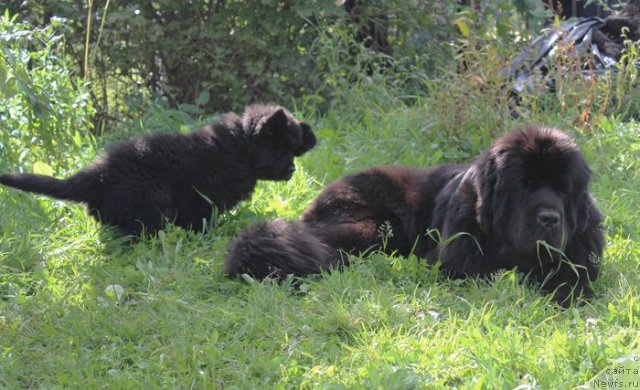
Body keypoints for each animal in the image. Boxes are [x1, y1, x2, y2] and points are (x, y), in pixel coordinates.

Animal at [0, 104, 316, 238]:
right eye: (281, 150)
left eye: (294, 150)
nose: (291, 169)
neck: (241, 148)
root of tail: (95, 176)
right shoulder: (202, 197)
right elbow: (201, 218)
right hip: (151, 198)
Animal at [226, 126, 604, 306]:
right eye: (525, 186)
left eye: (563, 189)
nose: (550, 218)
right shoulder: (457, 261)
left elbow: (569, 275)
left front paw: (563, 294)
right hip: (371, 227)